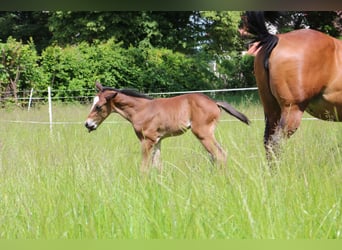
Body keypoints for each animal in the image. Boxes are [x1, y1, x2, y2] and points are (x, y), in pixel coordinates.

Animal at [84, 82, 250, 174]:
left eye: (99, 107)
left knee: (219, 155)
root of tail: (215, 102)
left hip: (203, 133)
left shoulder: (147, 140)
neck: (141, 109)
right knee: (218, 155)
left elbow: (144, 167)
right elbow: (158, 166)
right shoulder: (157, 140)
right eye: (93, 103)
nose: (87, 124)